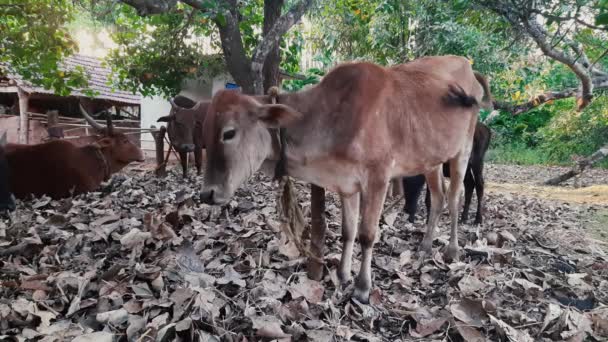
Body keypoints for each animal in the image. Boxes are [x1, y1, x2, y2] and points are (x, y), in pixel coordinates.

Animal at [198, 55, 484, 302]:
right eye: (205, 132)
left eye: (229, 133)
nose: (207, 194)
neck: (330, 116)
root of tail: (468, 66)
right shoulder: (347, 185)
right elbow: (348, 231)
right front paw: (343, 274)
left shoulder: (378, 178)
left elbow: (367, 234)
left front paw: (362, 287)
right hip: (431, 160)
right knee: (437, 197)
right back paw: (425, 245)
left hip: (463, 150)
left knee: (454, 198)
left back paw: (452, 250)